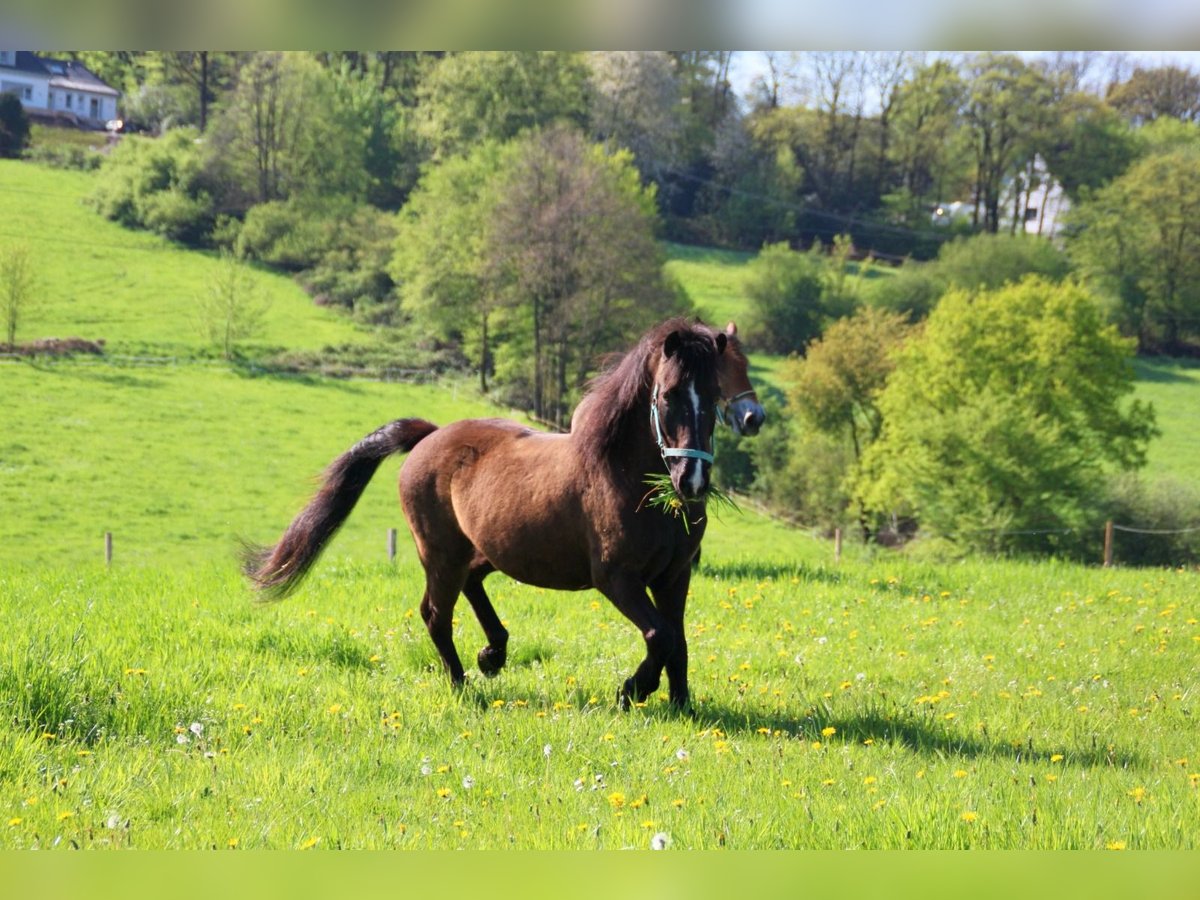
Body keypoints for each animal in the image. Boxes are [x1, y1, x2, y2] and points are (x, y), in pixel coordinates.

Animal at [248, 321, 724, 710]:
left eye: (715, 397)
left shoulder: (674, 575)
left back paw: (492, 655)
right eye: (669, 395)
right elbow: (661, 636)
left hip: (480, 549)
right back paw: (462, 685)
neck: (625, 477)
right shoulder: (616, 577)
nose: (692, 480)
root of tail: (430, 436)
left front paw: (682, 705)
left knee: (471, 584)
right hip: (439, 553)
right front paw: (631, 691)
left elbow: (677, 640)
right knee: (435, 614)